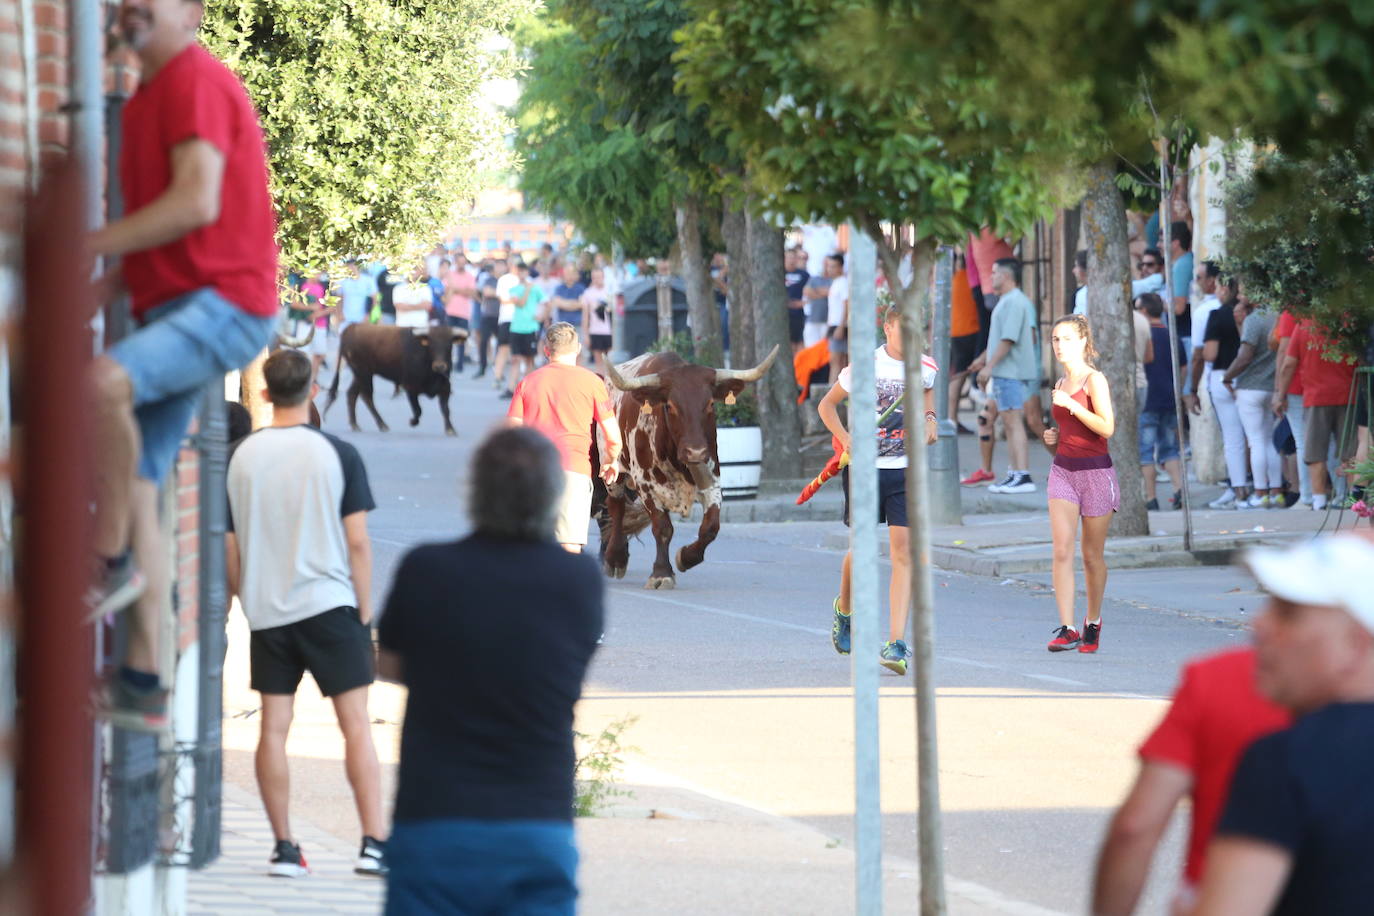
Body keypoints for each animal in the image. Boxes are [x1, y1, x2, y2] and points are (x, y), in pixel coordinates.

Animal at [317, 322, 464, 436]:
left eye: (449, 345)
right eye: (431, 345)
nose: (440, 366)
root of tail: (352, 327)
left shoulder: (445, 387)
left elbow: (446, 409)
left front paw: (450, 429)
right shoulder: (410, 387)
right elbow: (418, 410)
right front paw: (413, 422)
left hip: (360, 374)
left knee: (352, 394)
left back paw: (355, 425)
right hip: (363, 373)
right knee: (367, 396)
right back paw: (382, 424)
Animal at [599, 347, 780, 590]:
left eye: (711, 404)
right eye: (670, 406)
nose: (695, 452)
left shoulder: (712, 480)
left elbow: (711, 527)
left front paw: (686, 557)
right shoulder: (646, 486)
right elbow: (663, 528)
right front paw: (661, 573)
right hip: (613, 471)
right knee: (616, 507)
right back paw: (615, 558)